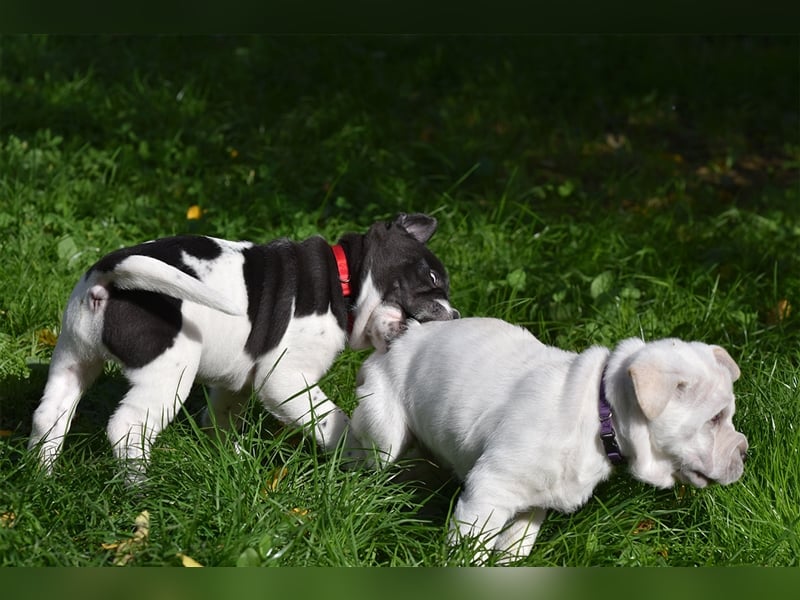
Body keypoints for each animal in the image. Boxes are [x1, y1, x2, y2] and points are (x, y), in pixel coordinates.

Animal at [29, 213, 456, 486]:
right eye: (433, 278)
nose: (455, 314)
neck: (345, 281)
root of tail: (109, 273)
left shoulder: (236, 381)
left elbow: (221, 416)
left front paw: (229, 456)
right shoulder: (286, 379)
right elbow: (332, 421)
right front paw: (354, 456)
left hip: (73, 358)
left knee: (50, 415)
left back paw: (41, 477)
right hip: (168, 374)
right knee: (127, 427)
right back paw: (138, 488)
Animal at [346, 316, 752, 564]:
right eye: (715, 419)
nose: (746, 451)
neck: (599, 414)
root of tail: (399, 338)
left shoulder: (532, 502)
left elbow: (516, 544)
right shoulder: (488, 491)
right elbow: (470, 550)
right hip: (385, 434)